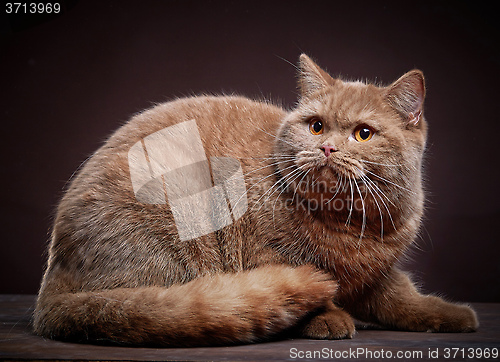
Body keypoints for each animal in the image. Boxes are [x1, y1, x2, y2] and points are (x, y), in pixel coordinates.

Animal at [33, 53, 478, 346]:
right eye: (316, 127)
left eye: (363, 134)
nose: (328, 148)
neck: (348, 225)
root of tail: (51, 289)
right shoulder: (265, 251)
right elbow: (304, 286)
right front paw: (328, 318)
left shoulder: (378, 272)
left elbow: (401, 295)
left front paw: (448, 314)